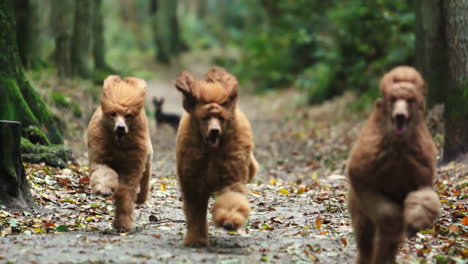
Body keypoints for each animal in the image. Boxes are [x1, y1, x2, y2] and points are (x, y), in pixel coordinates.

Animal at [88, 75, 154, 232]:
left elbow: (125, 193)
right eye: (113, 114)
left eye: (128, 115)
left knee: (145, 181)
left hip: (147, 158)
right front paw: (104, 189)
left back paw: (141, 197)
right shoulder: (100, 158)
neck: (118, 145)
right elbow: (103, 172)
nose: (120, 128)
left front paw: (122, 223)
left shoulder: (132, 167)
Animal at [175, 66, 258, 248]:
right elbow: (195, 212)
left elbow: (232, 196)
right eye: (205, 118)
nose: (214, 131)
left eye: (220, 117)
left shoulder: (231, 176)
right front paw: (196, 239)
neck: (211, 151)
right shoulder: (194, 183)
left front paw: (229, 220)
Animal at [348, 66, 442, 264]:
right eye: (392, 99)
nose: (400, 115)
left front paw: (414, 223)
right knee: (366, 240)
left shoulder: (422, 172)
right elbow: (387, 215)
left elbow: (425, 198)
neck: (398, 146)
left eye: (410, 100)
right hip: (360, 212)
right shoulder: (362, 173)